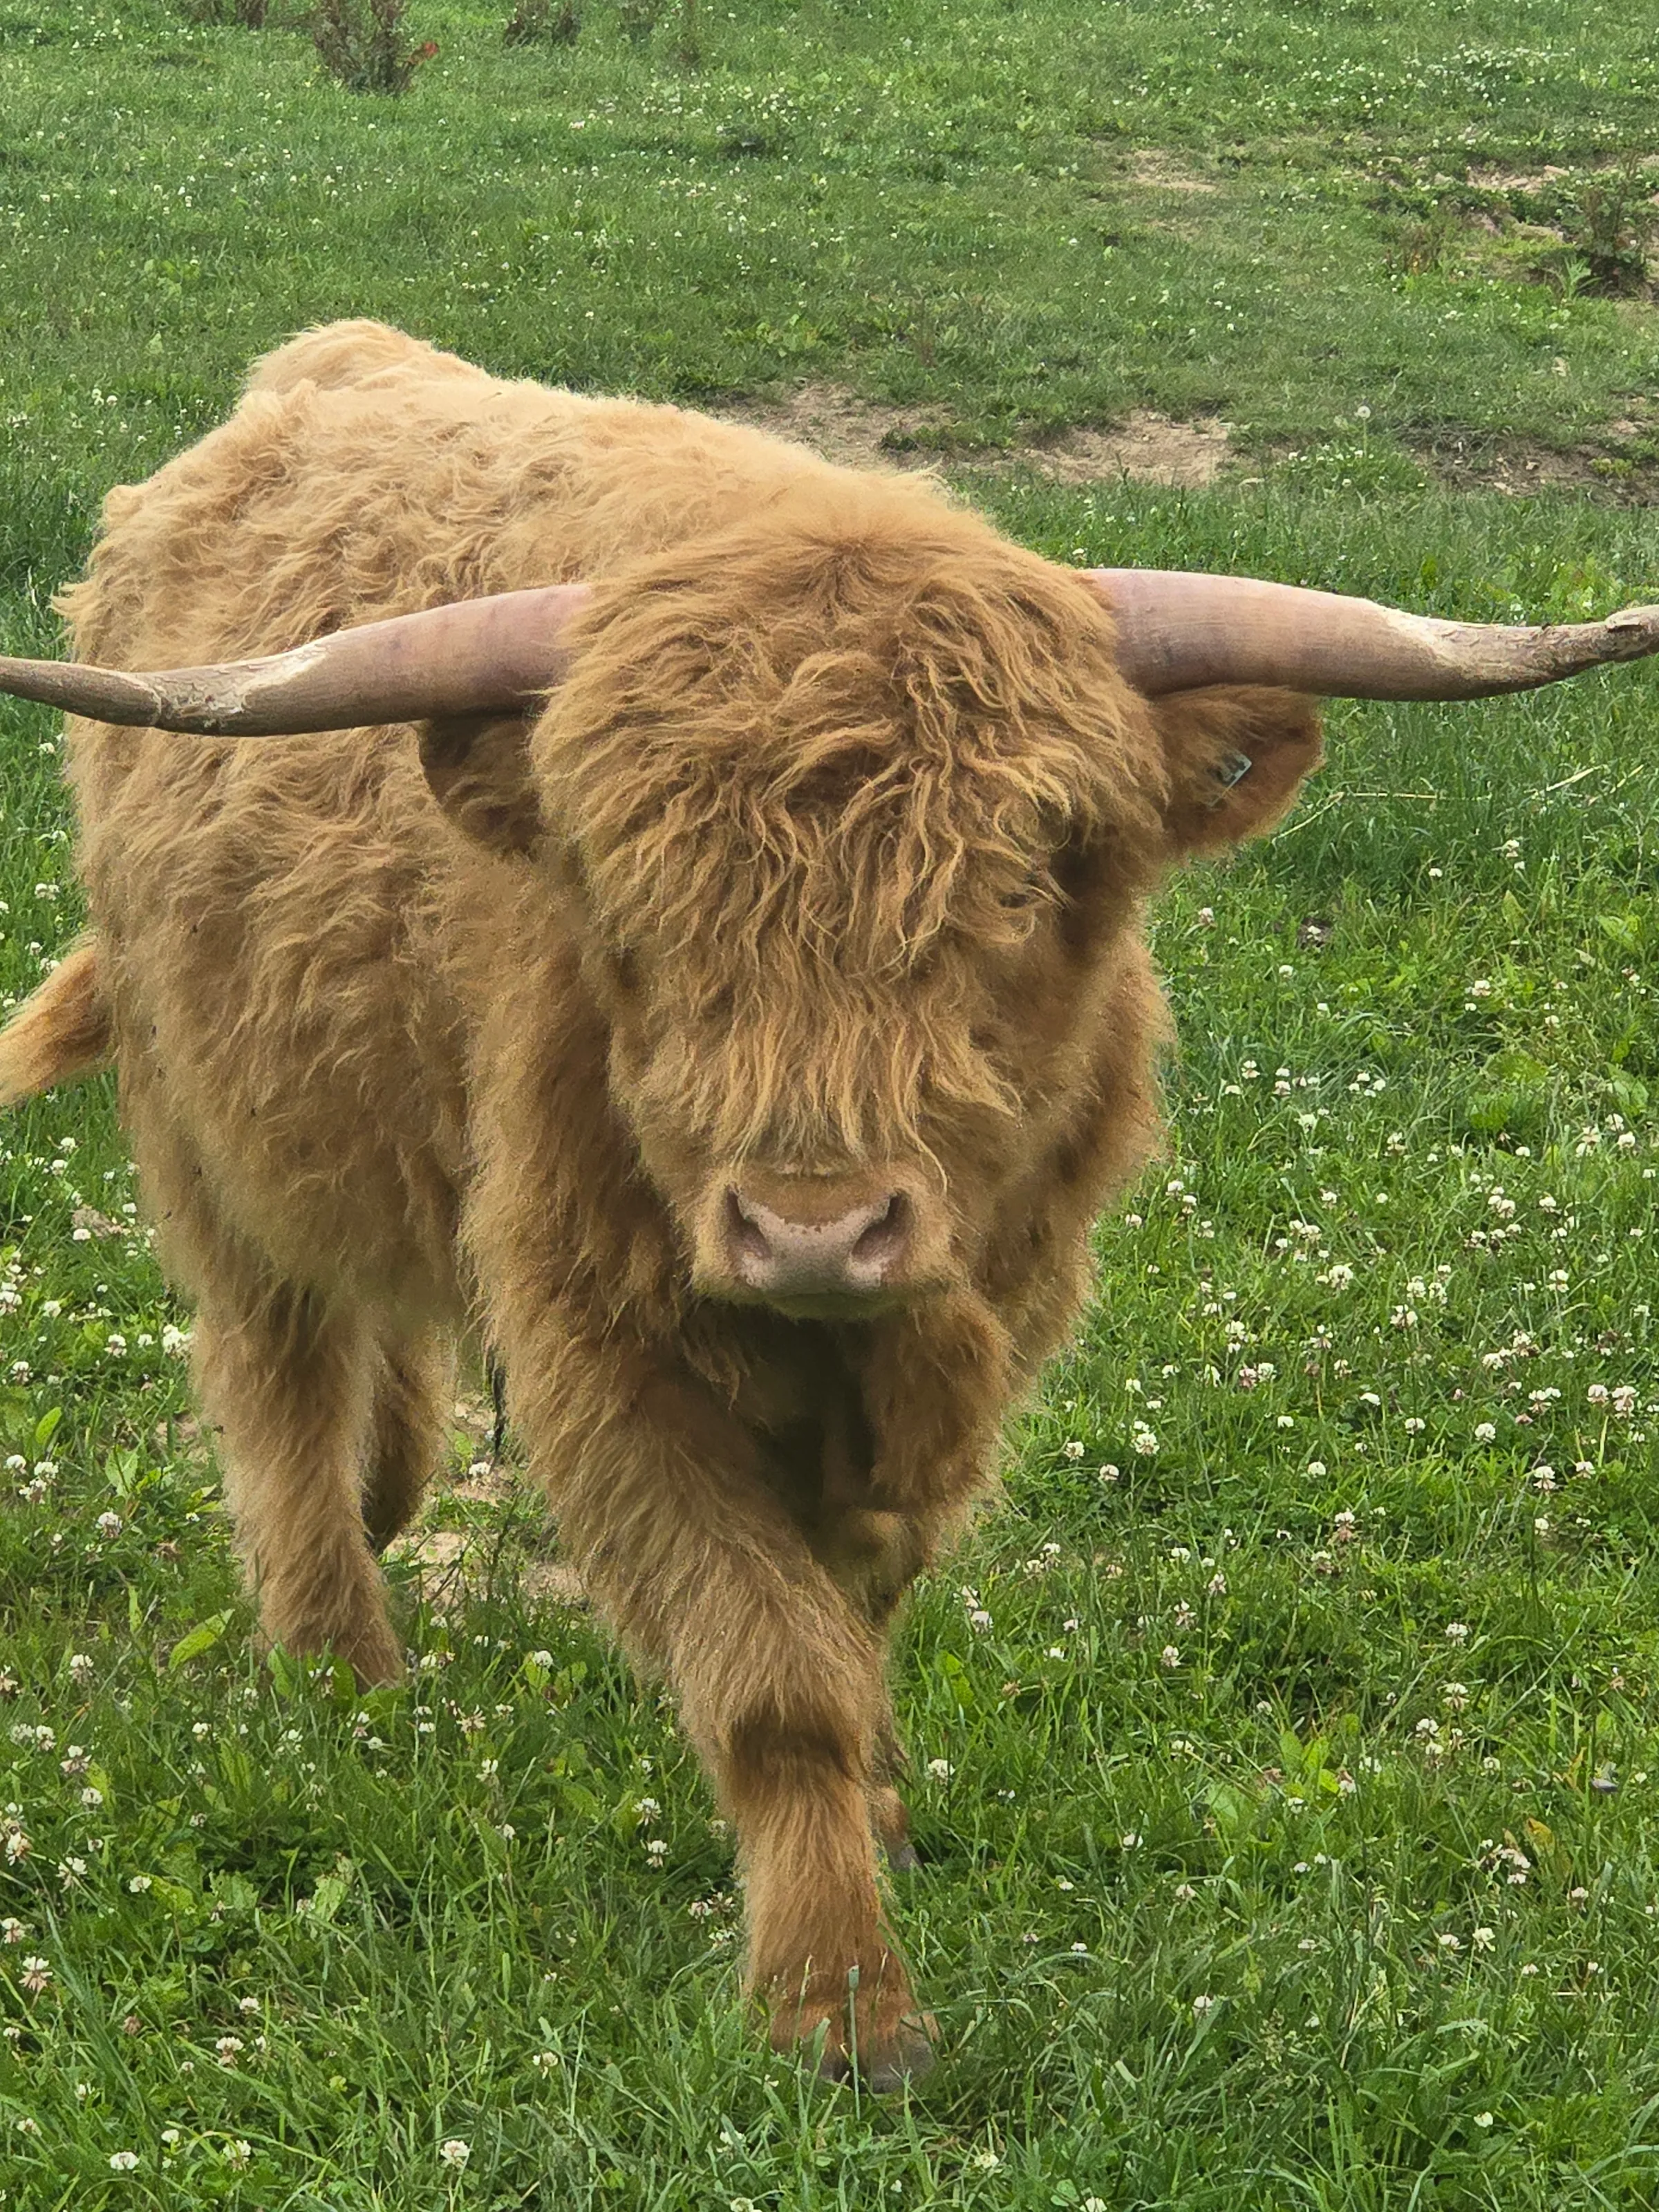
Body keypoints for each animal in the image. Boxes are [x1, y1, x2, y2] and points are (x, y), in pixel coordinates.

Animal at [1, 321, 1655, 2084]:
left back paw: (391, 1500)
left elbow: (853, 1616)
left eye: (1020, 883)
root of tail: (324, 362)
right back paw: (341, 1666)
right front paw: (837, 2000)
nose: (809, 1226)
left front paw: (883, 1814)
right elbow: (773, 1674)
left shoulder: (990, 1317)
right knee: (277, 1375)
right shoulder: (604, 1353)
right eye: (627, 894)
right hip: (201, 1130)